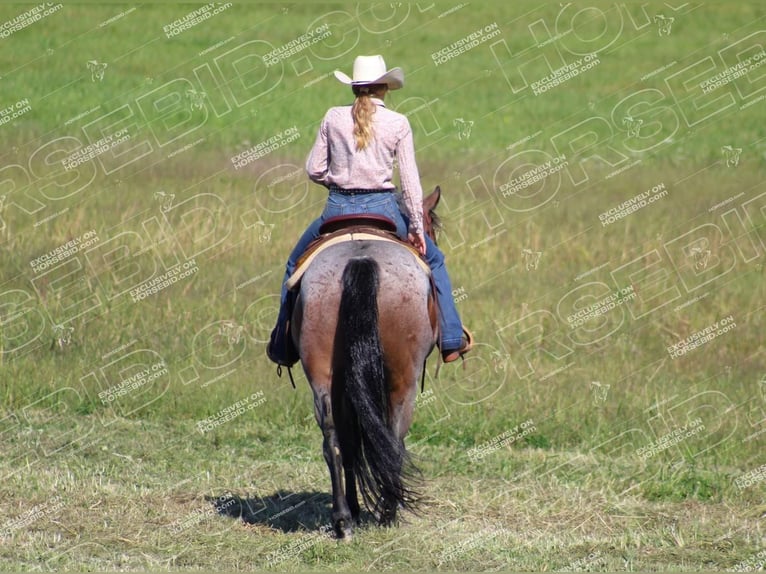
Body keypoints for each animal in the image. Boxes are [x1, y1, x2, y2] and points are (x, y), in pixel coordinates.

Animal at [290, 188, 444, 540]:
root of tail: (360, 260)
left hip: (323, 375)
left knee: (334, 441)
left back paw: (344, 520)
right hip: (403, 379)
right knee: (393, 437)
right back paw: (387, 512)